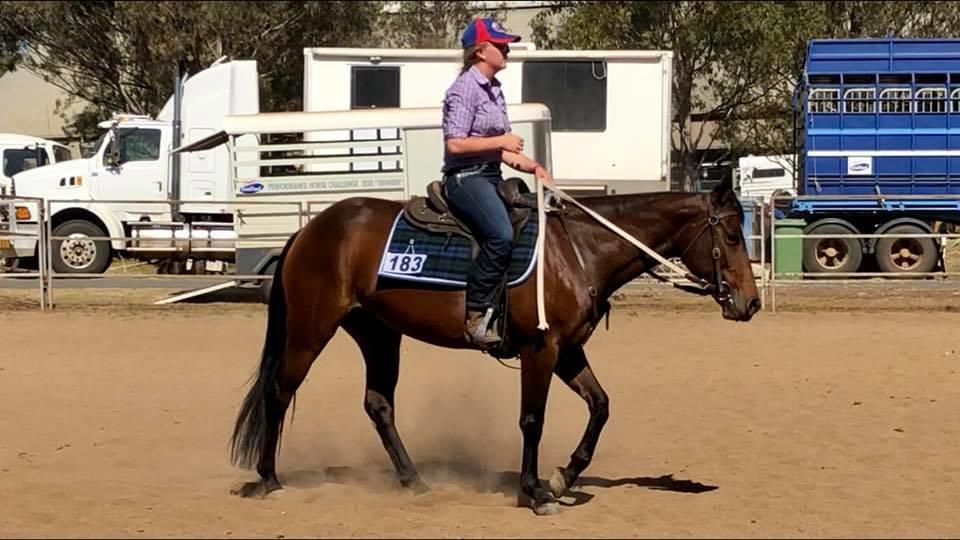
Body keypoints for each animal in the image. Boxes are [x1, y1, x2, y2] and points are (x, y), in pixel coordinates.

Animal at [227, 176, 761, 516]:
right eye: (733, 235)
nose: (751, 303)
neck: (578, 251)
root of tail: (309, 230)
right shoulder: (540, 350)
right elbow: (532, 420)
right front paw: (535, 492)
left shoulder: (568, 351)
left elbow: (601, 406)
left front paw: (565, 476)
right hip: (310, 330)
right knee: (279, 392)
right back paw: (269, 479)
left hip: (378, 334)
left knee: (378, 405)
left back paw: (414, 481)